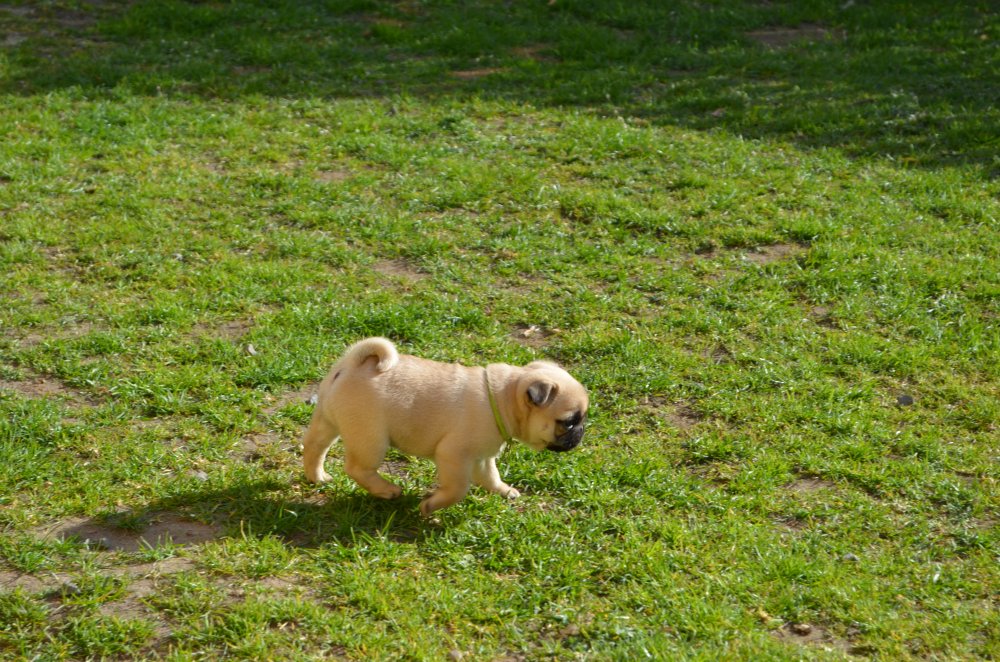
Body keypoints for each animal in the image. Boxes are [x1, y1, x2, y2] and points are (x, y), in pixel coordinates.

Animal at [302, 337, 588, 516]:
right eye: (569, 422)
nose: (581, 432)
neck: (502, 397)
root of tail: (351, 365)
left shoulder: (482, 458)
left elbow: (491, 477)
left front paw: (505, 491)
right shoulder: (454, 455)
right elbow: (458, 490)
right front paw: (430, 506)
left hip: (327, 421)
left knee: (314, 447)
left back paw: (318, 476)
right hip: (371, 438)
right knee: (357, 468)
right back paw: (387, 490)